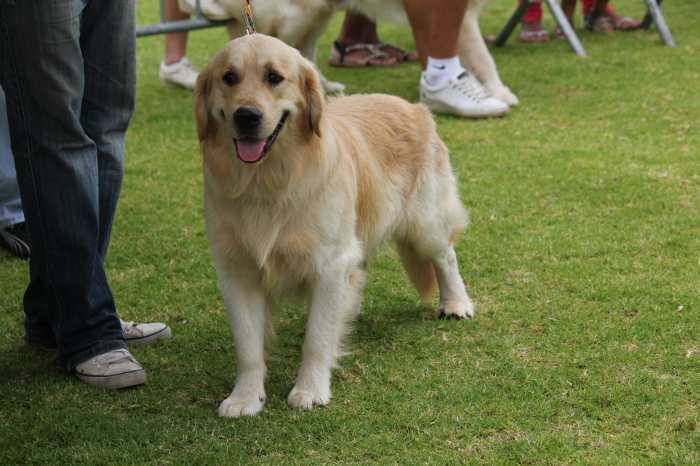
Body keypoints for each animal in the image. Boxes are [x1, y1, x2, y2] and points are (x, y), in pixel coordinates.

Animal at [194, 34, 474, 416]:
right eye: (229, 77)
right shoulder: (237, 270)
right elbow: (248, 346)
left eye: (274, 77)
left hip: (424, 222)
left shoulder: (329, 263)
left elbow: (317, 337)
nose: (246, 116)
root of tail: (414, 107)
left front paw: (310, 389)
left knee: (446, 256)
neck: (267, 181)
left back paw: (456, 303)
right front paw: (245, 397)